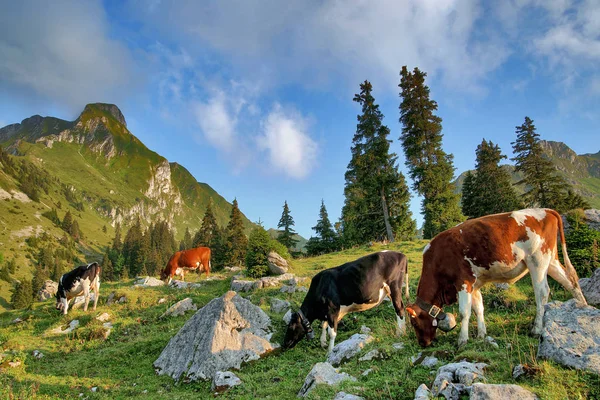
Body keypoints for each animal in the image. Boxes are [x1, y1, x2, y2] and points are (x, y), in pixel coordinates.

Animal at [406, 208, 588, 348]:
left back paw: (536, 329)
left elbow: (464, 312)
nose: (422, 343)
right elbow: (478, 308)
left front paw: (462, 340)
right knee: (570, 281)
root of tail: (546, 210)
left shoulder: (463, 282)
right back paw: (583, 307)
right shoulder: (474, 284)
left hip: (537, 260)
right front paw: (481, 334)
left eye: (414, 323)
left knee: (542, 292)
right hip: (551, 261)